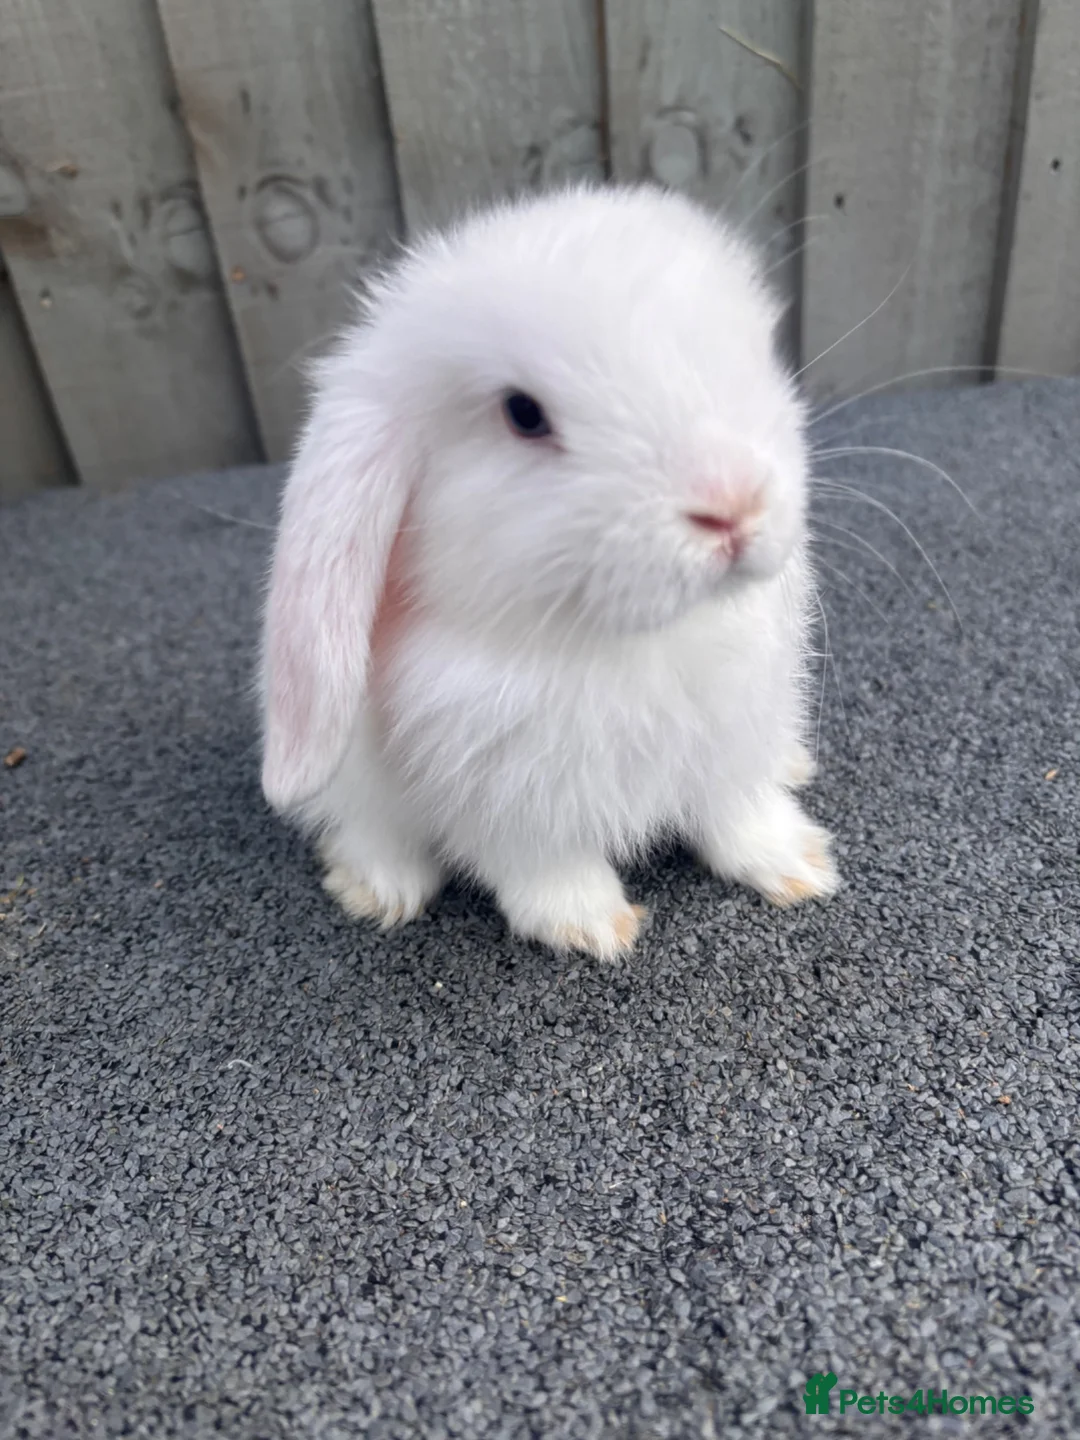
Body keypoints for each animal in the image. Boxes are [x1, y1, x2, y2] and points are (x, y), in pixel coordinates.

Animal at [260, 183, 839, 960]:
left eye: (750, 353)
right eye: (524, 413)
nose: (734, 505)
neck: (629, 646)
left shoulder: (733, 741)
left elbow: (738, 816)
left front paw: (801, 867)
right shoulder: (506, 799)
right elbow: (545, 866)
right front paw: (594, 927)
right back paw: (380, 891)